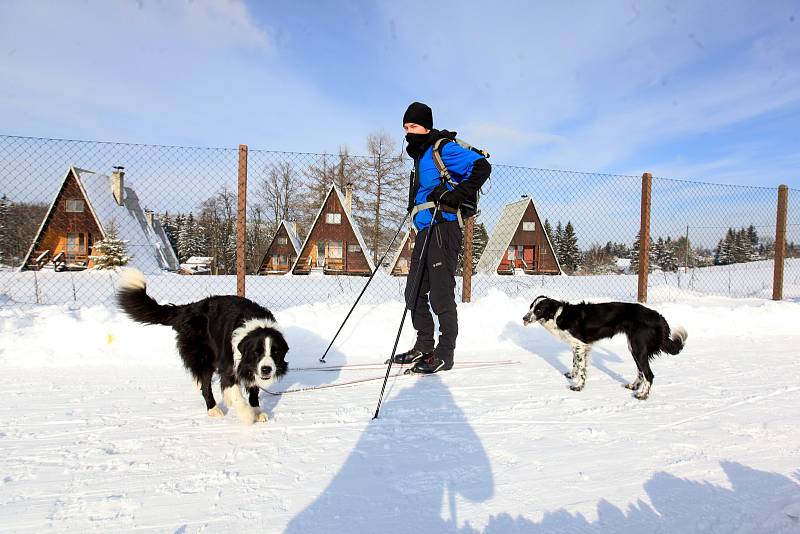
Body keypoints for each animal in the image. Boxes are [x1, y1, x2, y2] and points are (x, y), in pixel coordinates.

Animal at [117, 270, 290, 426]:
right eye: (256, 352)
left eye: (275, 352)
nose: (266, 369)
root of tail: (188, 309)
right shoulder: (230, 362)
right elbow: (235, 391)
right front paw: (247, 415)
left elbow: (253, 389)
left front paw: (257, 411)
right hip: (202, 355)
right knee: (205, 384)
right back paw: (213, 409)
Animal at [520, 298, 684, 402]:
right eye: (530, 307)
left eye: (538, 309)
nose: (524, 318)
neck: (559, 315)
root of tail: (659, 317)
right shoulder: (577, 346)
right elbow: (576, 364)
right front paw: (572, 375)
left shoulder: (580, 345)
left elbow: (581, 369)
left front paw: (578, 386)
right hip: (634, 347)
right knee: (641, 371)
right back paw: (633, 386)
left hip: (638, 347)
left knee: (649, 374)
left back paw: (642, 395)